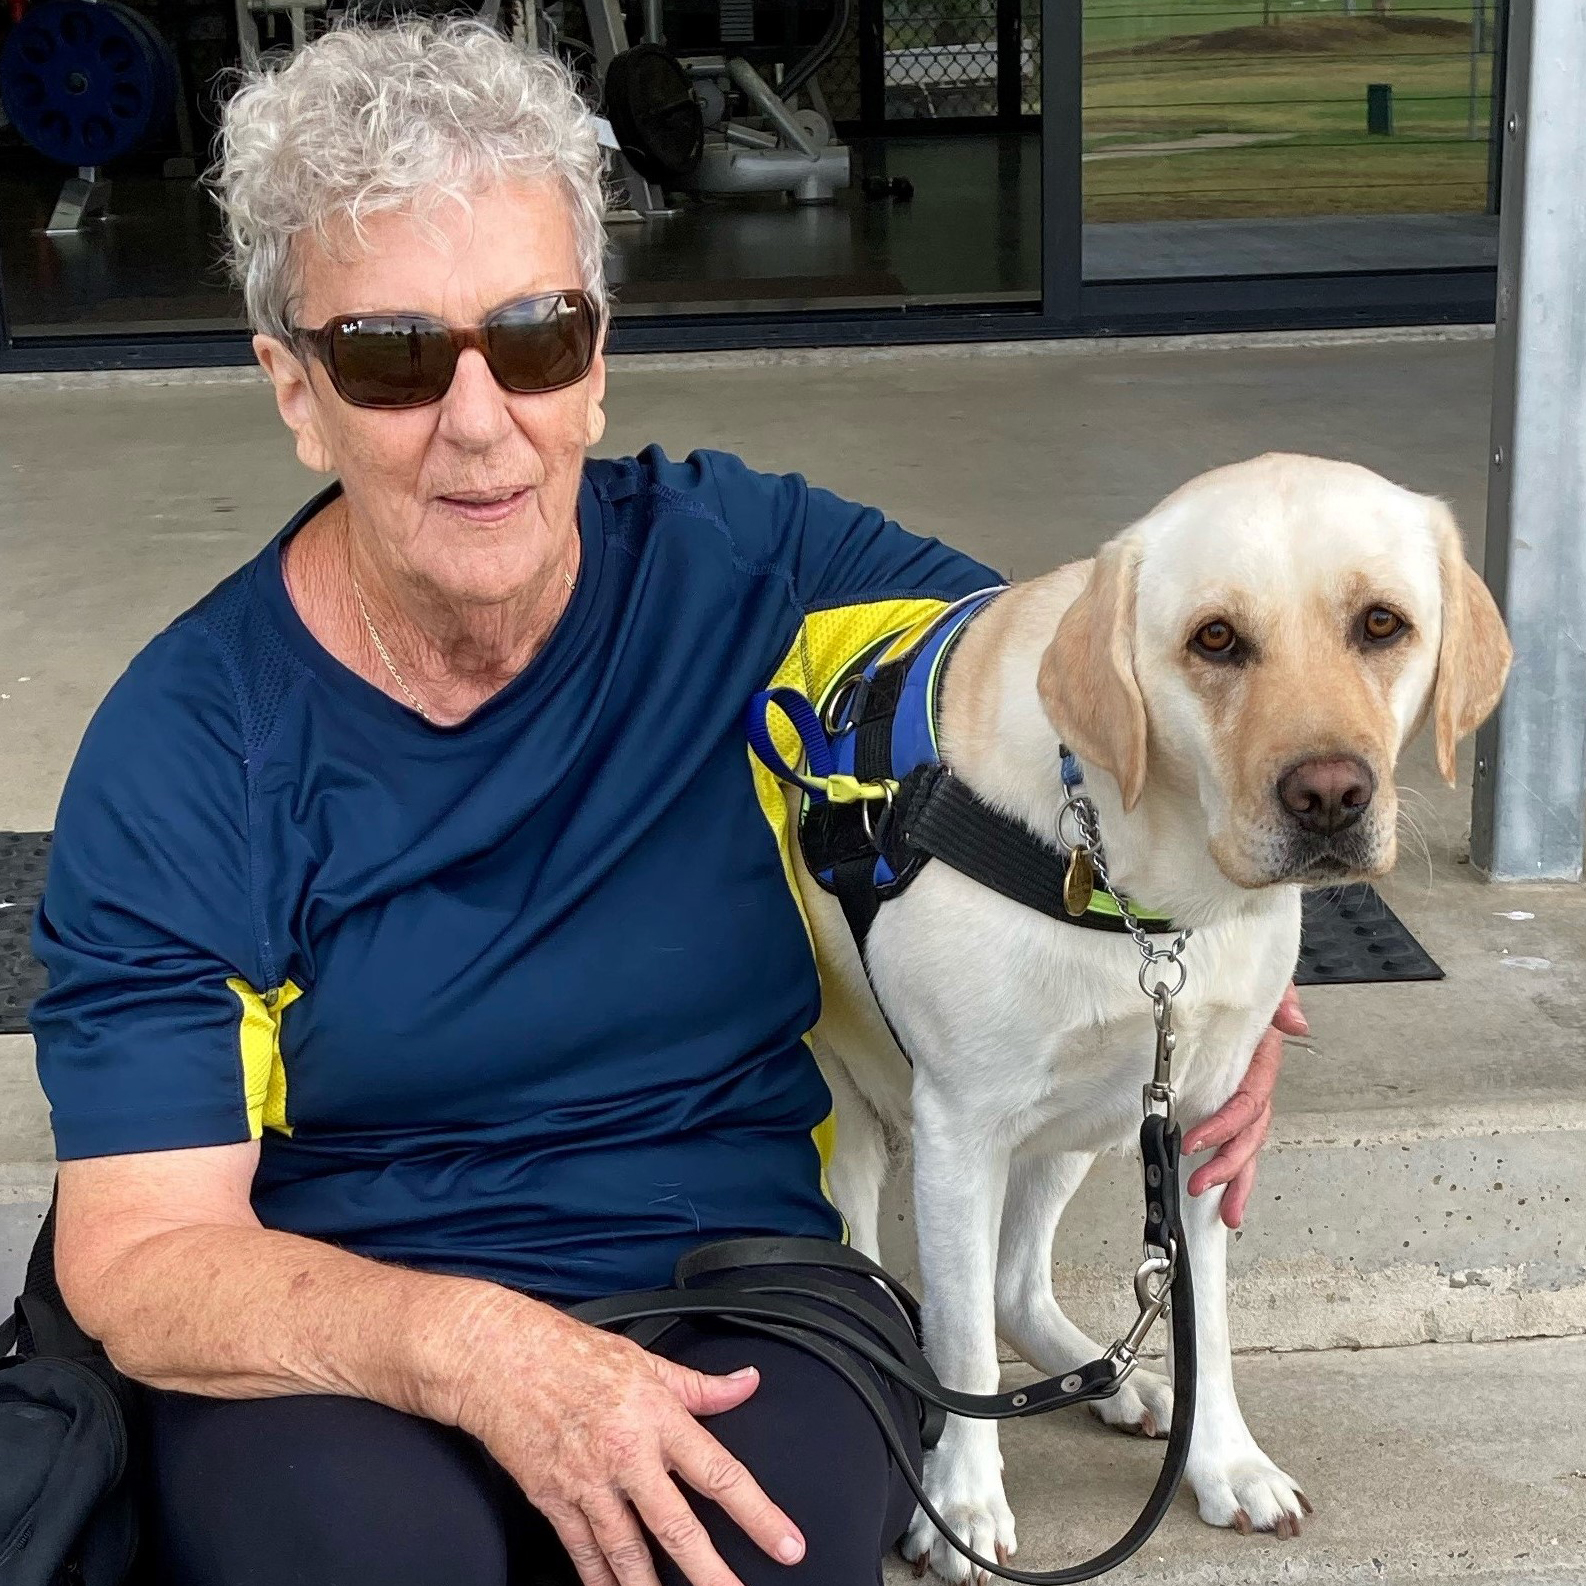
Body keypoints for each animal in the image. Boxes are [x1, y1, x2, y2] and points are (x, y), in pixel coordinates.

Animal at [799, 453, 1516, 1579]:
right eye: (1213, 639)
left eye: (1381, 624)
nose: (1329, 794)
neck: (1154, 895)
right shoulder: (960, 1127)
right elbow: (958, 1347)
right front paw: (961, 1502)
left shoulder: (1195, 1119)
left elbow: (1203, 1319)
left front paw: (1222, 1461)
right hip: (855, 1125)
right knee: (896, 1283)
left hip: (1089, 1115)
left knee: (1012, 1284)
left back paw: (1113, 1378)